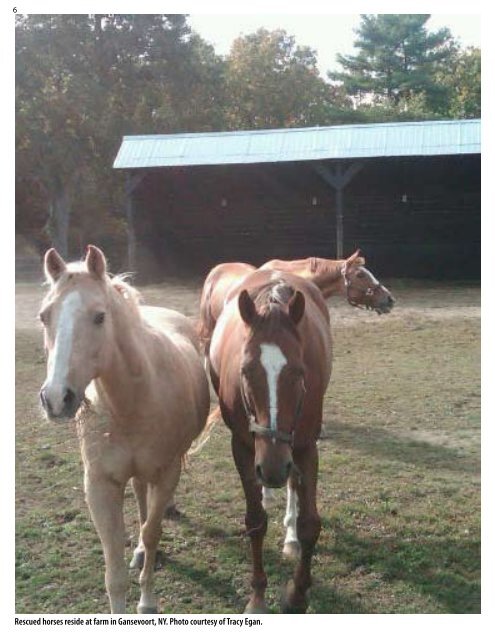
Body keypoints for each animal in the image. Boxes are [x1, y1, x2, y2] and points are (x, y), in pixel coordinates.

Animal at [38, 246, 209, 616]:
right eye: (44, 316)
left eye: (99, 317)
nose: (56, 398)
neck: (132, 402)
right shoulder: (100, 485)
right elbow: (114, 566)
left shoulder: (166, 473)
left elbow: (152, 531)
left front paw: (147, 602)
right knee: (141, 497)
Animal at [207, 268, 332, 612]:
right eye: (245, 371)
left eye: (300, 372)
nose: (273, 469)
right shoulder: (242, 448)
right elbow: (255, 521)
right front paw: (258, 597)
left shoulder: (304, 447)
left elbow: (309, 524)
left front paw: (297, 595)